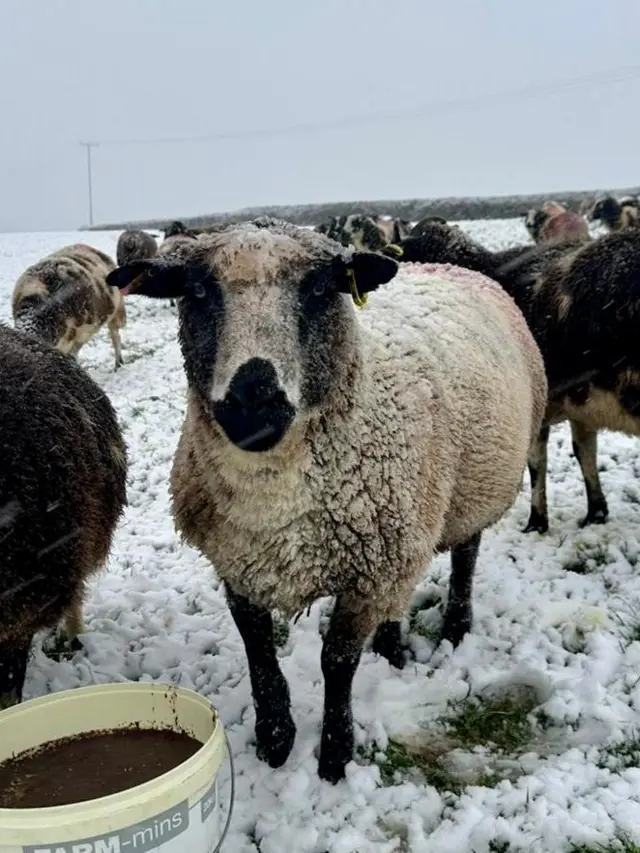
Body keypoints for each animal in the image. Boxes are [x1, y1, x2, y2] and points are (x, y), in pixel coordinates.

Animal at [107, 216, 548, 784]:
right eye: (199, 291)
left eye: (318, 289)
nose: (253, 402)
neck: (273, 497)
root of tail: (450, 267)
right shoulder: (239, 562)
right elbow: (257, 650)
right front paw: (275, 739)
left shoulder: (365, 574)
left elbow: (337, 662)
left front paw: (335, 755)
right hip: (406, 534)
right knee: (401, 594)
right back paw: (392, 647)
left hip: (471, 494)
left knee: (466, 556)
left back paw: (455, 629)